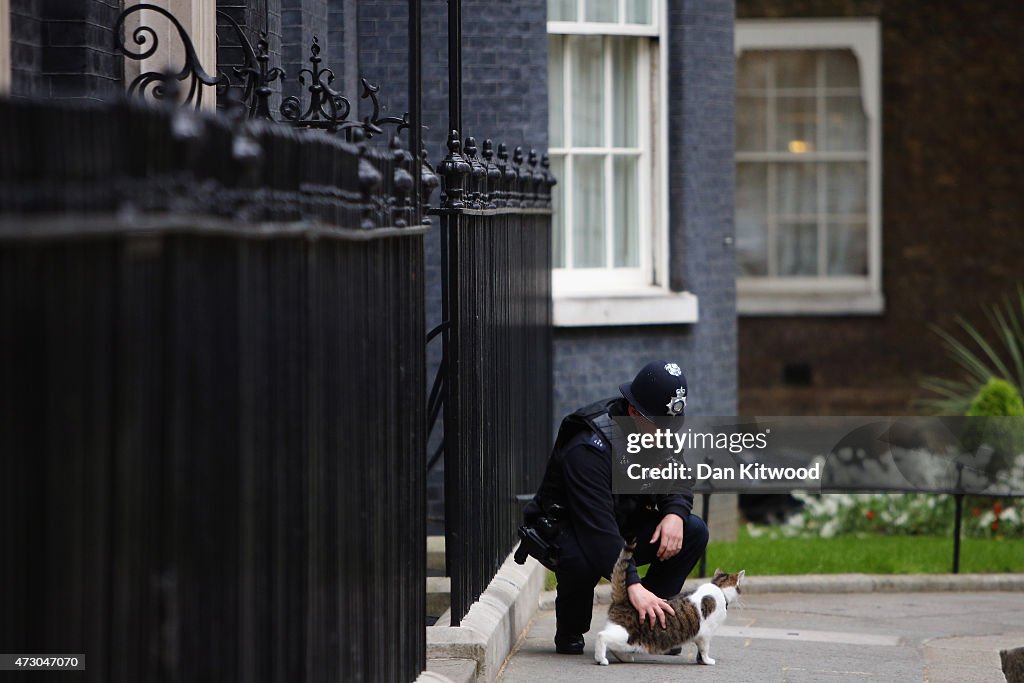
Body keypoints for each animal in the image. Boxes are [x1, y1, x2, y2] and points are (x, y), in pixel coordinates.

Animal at [593, 544, 745, 667]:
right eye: (739, 588)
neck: (718, 588)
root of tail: (623, 601)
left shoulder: (700, 635)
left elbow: (700, 651)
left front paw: (700, 661)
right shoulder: (705, 635)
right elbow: (704, 649)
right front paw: (707, 661)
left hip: (627, 640)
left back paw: (625, 658)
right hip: (626, 634)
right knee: (601, 636)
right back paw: (601, 659)